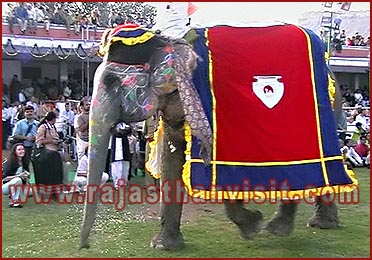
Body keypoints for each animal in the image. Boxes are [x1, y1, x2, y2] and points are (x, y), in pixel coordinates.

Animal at [80, 23, 356, 250]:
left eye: (111, 82)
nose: (85, 247)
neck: (168, 40)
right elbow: (171, 160)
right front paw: (163, 246)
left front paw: (252, 226)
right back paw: (313, 225)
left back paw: (285, 228)